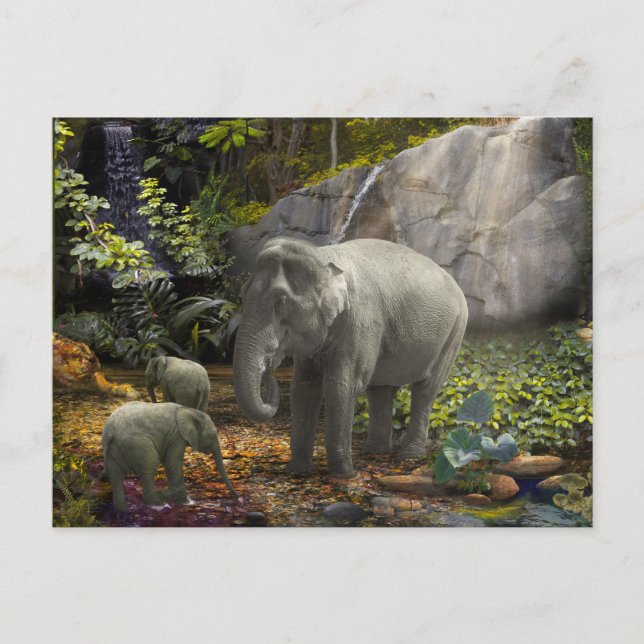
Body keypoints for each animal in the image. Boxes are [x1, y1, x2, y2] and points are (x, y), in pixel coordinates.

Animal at [101, 401, 237, 510]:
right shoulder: (177, 436)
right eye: (213, 435)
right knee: (149, 467)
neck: (189, 410)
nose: (238, 498)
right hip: (136, 443)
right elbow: (172, 462)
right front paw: (185, 502)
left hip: (114, 449)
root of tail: (110, 430)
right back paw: (158, 504)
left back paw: (122, 509)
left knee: (116, 474)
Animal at [232, 237, 468, 478]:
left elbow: (341, 387)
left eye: (281, 301)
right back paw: (375, 452)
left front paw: (345, 475)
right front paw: (298, 472)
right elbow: (303, 388)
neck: (322, 256)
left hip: (455, 331)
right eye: (242, 295)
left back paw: (409, 455)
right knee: (381, 390)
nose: (270, 364)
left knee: (425, 390)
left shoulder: (361, 322)